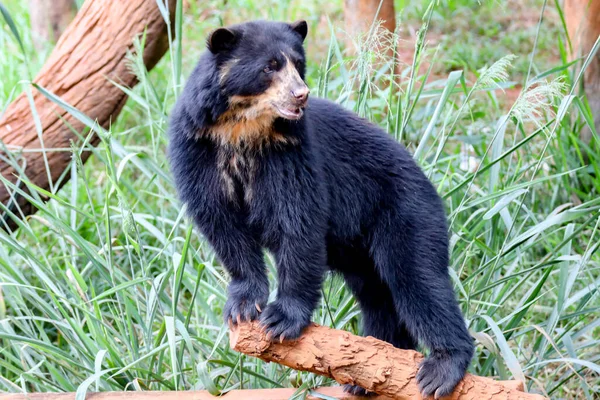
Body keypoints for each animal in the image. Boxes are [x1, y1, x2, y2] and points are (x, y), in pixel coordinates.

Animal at [168, 18, 474, 396]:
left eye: (298, 64)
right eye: (269, 66)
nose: (301, 94)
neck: (242, 129)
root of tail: (429, 183)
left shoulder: (290, 152)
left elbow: (298, 220)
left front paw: (281, 319)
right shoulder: (197, 148)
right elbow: (222, 225)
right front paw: (242, 307)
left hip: (405, 212)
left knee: (419, 279)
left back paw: (440, 369)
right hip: (362, 250)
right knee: (380, 296)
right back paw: (371, 370)